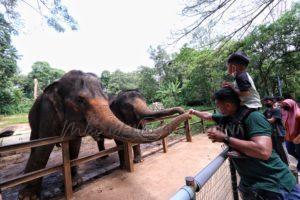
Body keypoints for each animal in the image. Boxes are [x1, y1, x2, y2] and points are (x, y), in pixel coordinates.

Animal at [18, 70, 189, 200]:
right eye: (80, 100)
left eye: (146, 101)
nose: (186, 112)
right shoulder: (47, 112)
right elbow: (44, 146)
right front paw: (28, 197)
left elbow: (75, 144)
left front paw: (137, 162)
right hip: (33, 119)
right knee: (35, 142)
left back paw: (99, 160)